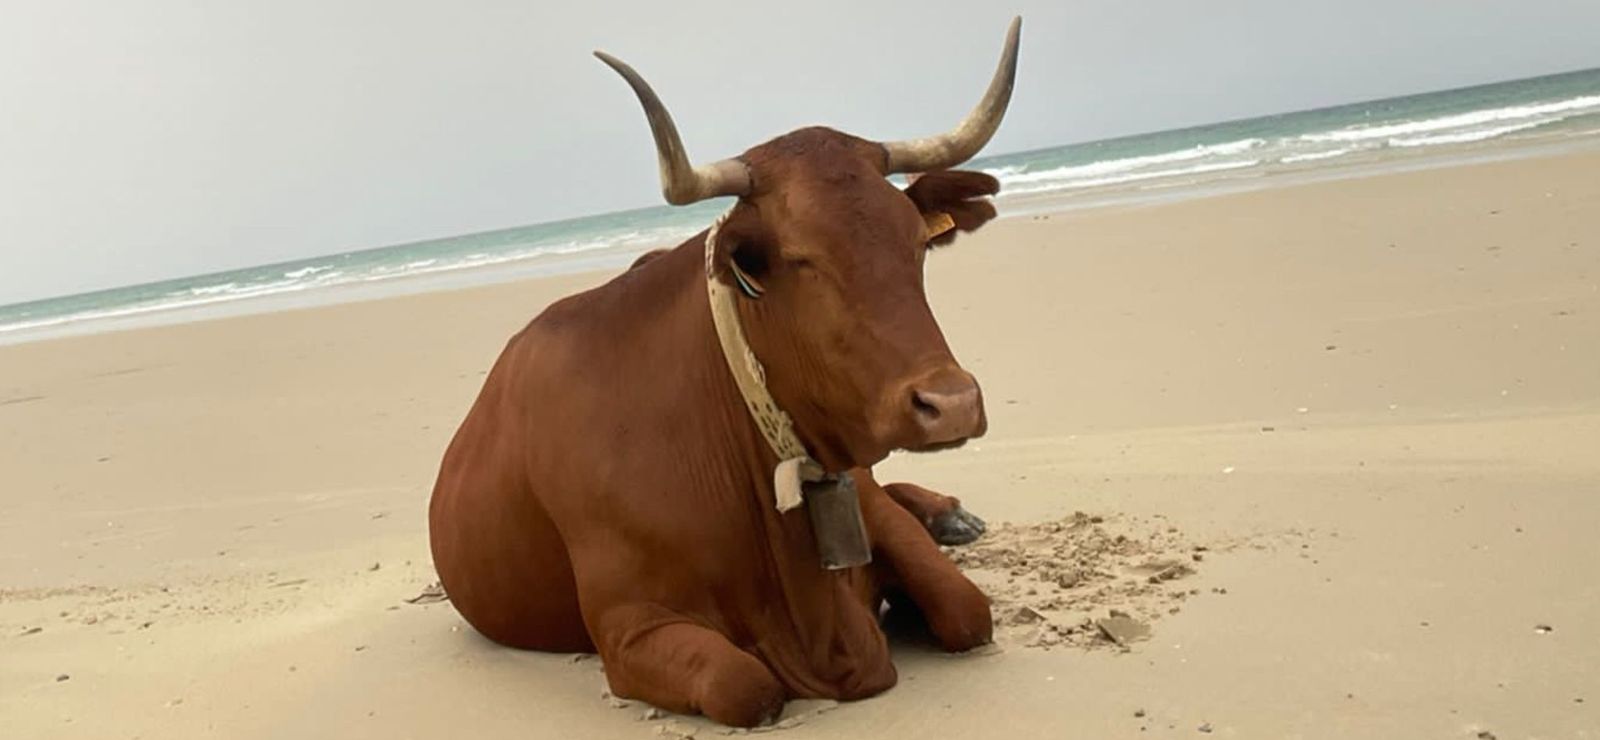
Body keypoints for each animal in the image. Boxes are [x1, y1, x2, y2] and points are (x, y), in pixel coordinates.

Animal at [428, 18, 1022, 727]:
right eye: (799, 257)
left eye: (918, 243)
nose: (951, 403)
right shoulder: (628, 627)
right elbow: (745, 686)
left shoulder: (869, 508)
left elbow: (967, 611)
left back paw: (951, 515)